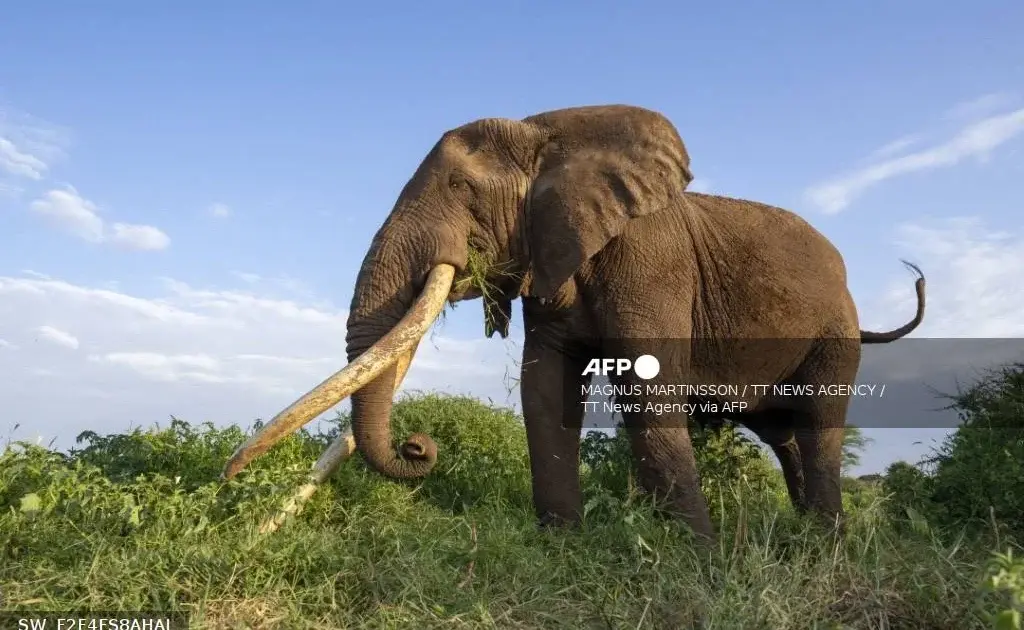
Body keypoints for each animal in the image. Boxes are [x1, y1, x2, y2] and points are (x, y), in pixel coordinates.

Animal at [221, 104, 925, 542]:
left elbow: (647, 390)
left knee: (819, 425)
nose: (420, 446)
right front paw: (563, 546)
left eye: (462, 191)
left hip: (836, 329)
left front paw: (697, 562)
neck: (549, 134)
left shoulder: (650, 259)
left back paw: (825, 548)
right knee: (783, 435)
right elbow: (545, 389)